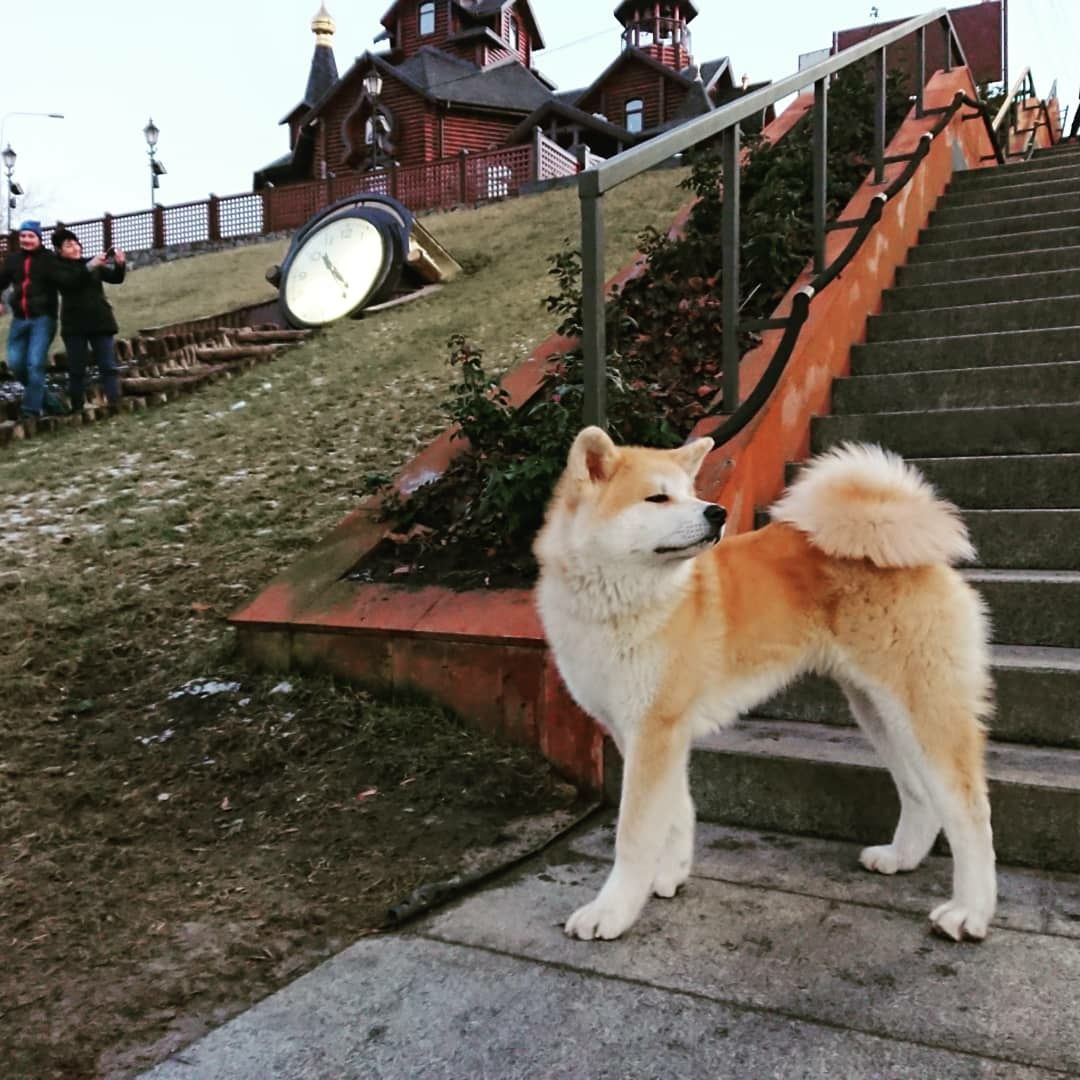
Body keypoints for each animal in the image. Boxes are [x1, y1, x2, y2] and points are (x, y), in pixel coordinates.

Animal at [531, 429, 993, 946]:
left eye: (690, 492)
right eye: (658, 497)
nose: (716, 512)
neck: (624, 601)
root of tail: (911, 543)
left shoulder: (655, 730)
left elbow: (634, 834)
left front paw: (611, 911)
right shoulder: (646, 733)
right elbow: (676, 812)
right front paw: (669, 875)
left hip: (923, 705)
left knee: (970, 809)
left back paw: (970, 912)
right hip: (880, 710)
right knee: (920, 793)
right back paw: (901, 857)